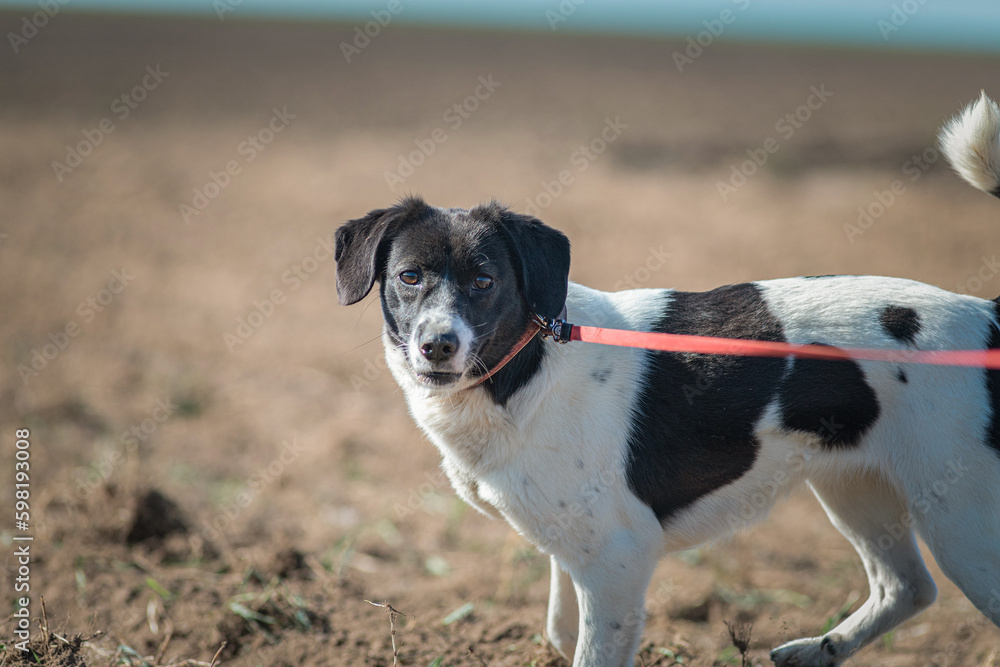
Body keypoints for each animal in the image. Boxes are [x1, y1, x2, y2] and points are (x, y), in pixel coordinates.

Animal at [334, 91, 1000, 664]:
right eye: (410, 276)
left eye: (483, 280)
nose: (437, 346)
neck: (525, 370)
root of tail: (987, 314)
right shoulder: (576, 551)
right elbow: (560, 630)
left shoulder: (618, 559)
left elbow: (592, 649)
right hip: (856, 485)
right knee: (906, 588)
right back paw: (819, 650)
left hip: (962, 520)